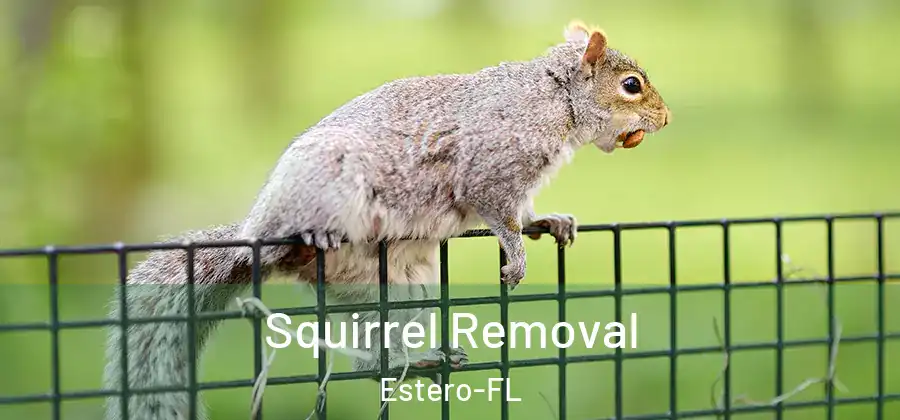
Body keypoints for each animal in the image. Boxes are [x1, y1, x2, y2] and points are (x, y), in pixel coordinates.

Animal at [102, 20, 670, 420]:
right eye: (631, 85)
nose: (665, 120)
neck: (554, 98)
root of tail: (253, 237)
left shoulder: (519, 183)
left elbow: (524, 212)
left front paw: (549, 222)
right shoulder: (489, 168)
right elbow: (498, 214)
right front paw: (516, 256)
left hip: (398, 289)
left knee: (370, 357)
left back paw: (414, 361)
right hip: (325, 187)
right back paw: (311, 238)